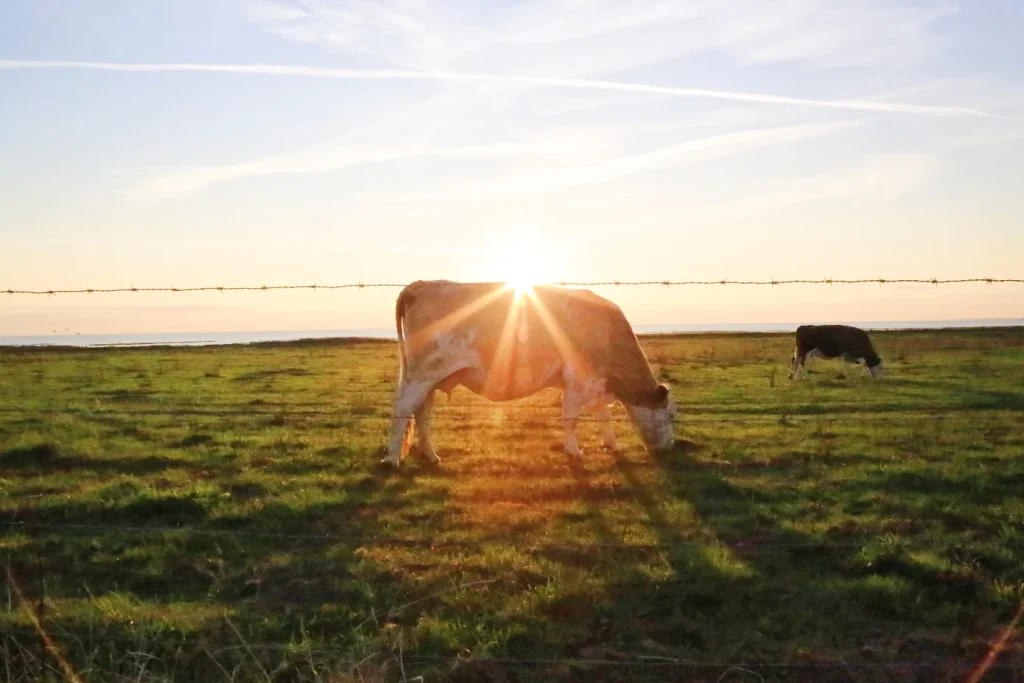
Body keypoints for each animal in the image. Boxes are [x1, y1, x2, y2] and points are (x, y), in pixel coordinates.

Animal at [384, 280, 676, 467]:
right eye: (671, 416)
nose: (671, 447)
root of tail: (421, 284)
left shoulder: (596, 382)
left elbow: (603, 416)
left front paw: (611, 444)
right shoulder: (577, 381)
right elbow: (571, 419)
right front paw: (575, 451)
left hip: (430, 378)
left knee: (422, 412)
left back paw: (431, 456)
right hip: (422, 373)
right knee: (404, 407)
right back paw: (392, 458)